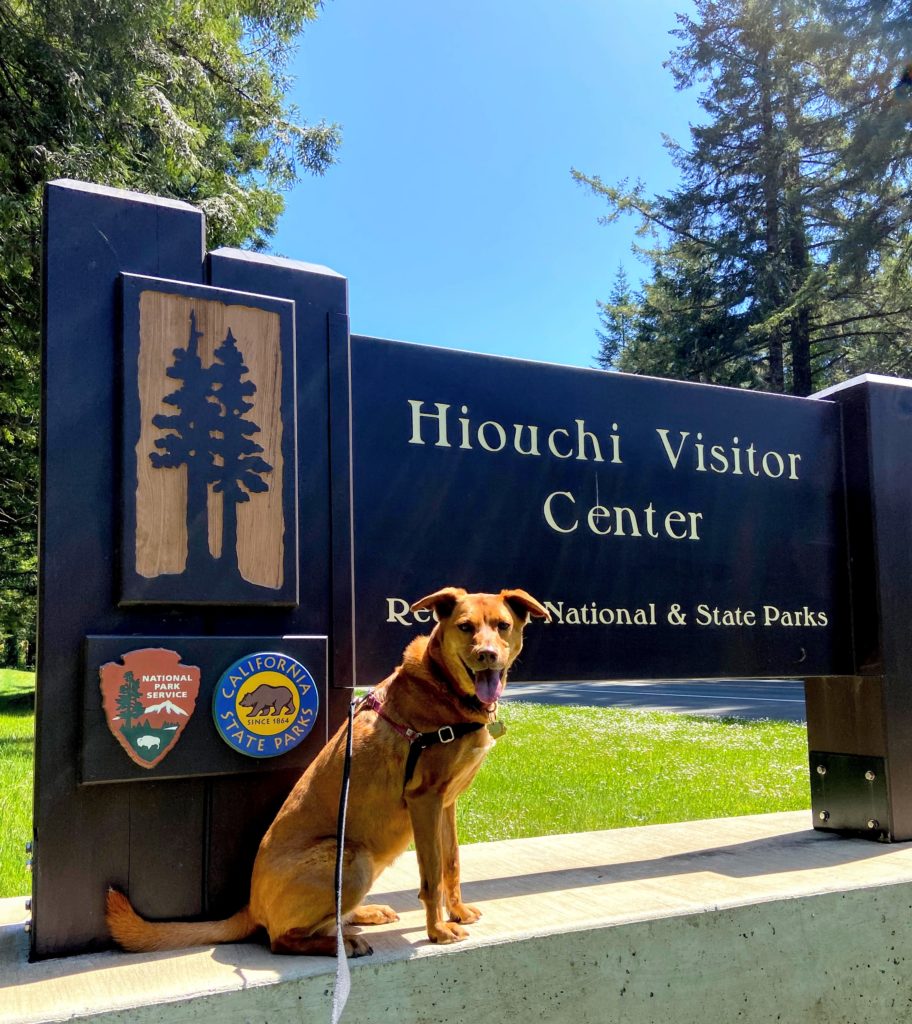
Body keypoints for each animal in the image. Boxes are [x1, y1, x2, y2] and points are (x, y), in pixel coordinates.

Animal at [106, 589, 548, 954]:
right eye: (465, 627)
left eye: (502, 626)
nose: (487, 655)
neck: (443, 686)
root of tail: (251, 905)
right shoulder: (424, 800)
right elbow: (431, 875)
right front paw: (437, 931)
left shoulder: (447, 804)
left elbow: (452, 862)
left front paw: (456, 911)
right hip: (351, 857)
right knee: (281, 940)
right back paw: (343, 944)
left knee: (329, 918)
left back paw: (362, 917)